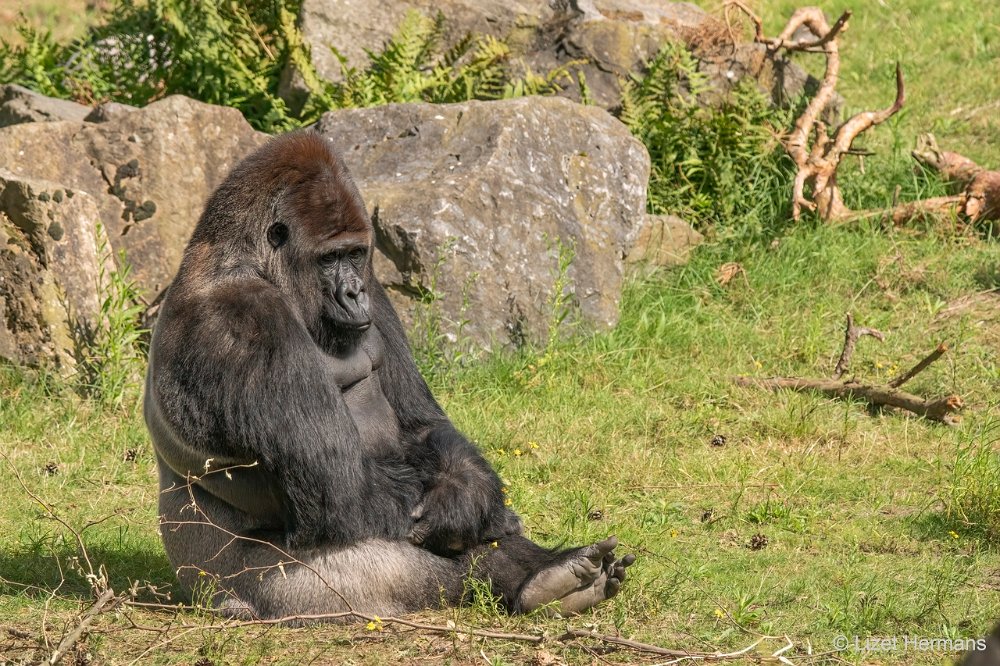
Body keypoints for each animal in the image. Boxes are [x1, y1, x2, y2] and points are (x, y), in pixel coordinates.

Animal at [143, 130, 632, 616]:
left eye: (356, 254)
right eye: (329, 258)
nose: (353, 292)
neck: (251, 260)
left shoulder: (375, 285)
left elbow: (421, 426)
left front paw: (465, 501)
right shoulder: (244, 319)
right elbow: (343, 487)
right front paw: (474, 517)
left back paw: (551, 577)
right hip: (273, 594)